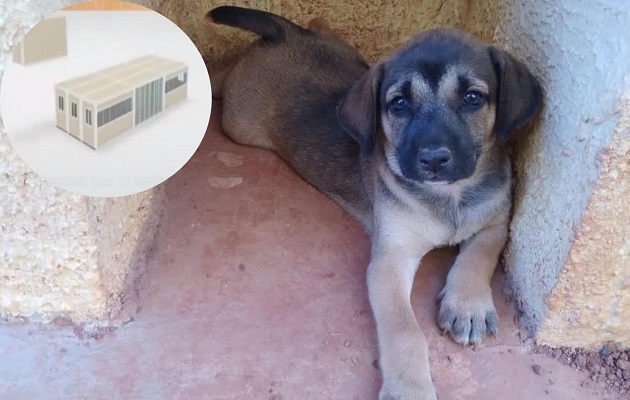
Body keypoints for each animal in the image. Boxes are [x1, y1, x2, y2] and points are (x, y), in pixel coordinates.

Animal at [207, 7, 544, 400]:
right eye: (399, 103)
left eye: (473, 98)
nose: (433, 159)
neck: (449, 197)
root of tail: (288, 35)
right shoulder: (390, 260)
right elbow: (405, 331)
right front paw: (410, 389)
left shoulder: (496, 222)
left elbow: (480, 255)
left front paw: (468, 306)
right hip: (239, 123)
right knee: (222, 74)